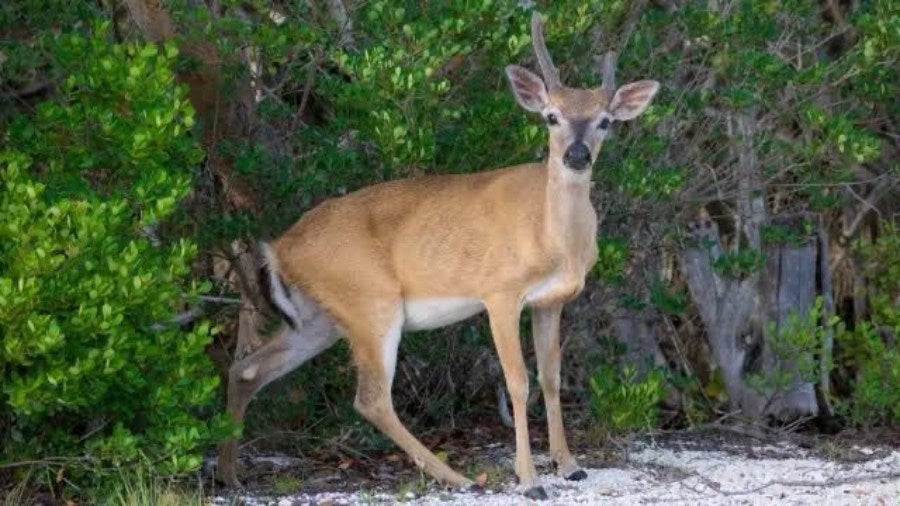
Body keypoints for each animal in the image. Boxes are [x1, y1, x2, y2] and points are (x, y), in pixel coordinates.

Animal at [214, 10, 656, 498]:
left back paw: (229, 474)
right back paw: (457, 475)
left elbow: (552, 378)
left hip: (319, 318)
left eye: (605, 121)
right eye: (551, 116)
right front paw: (529, 479)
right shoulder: (499, 292)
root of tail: (278, 248)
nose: (577, 156)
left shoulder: (552, 300)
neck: (552, 238)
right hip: (371, 301)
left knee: (247, 369)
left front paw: (569, 465)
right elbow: (518, 382)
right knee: (370, 398)